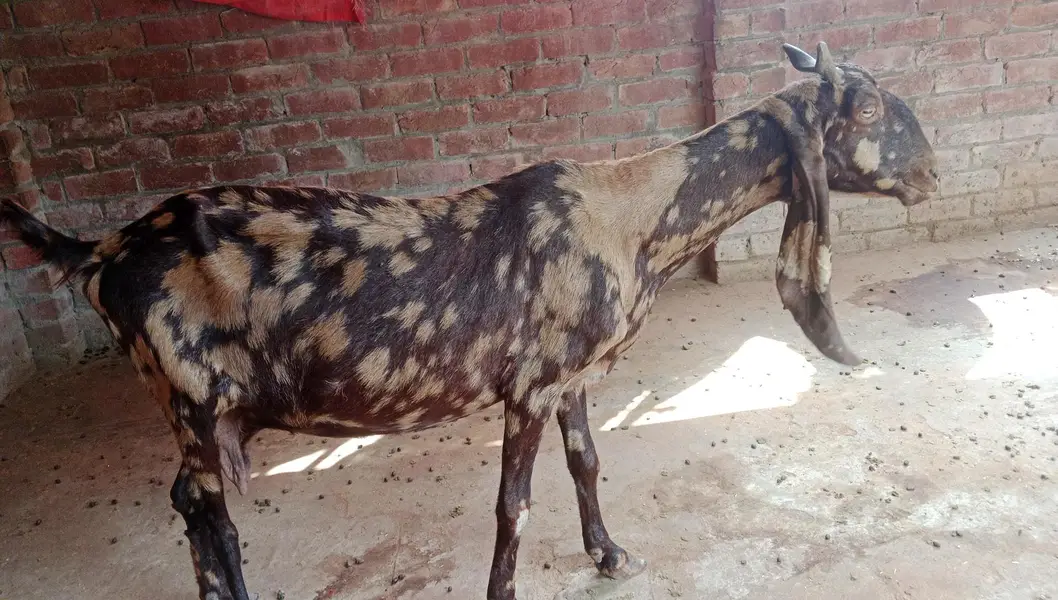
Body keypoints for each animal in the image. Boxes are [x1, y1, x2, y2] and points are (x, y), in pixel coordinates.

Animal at [0, 42, 938, 600]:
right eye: (873, 113)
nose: (931, 175)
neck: (629, 216)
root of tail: (97, 253)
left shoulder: (572, 378)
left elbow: (587, 463)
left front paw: (610, 555)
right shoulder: (527, 384)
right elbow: (512, 506)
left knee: (194, 508)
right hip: (189, 397)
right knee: (205, 511)